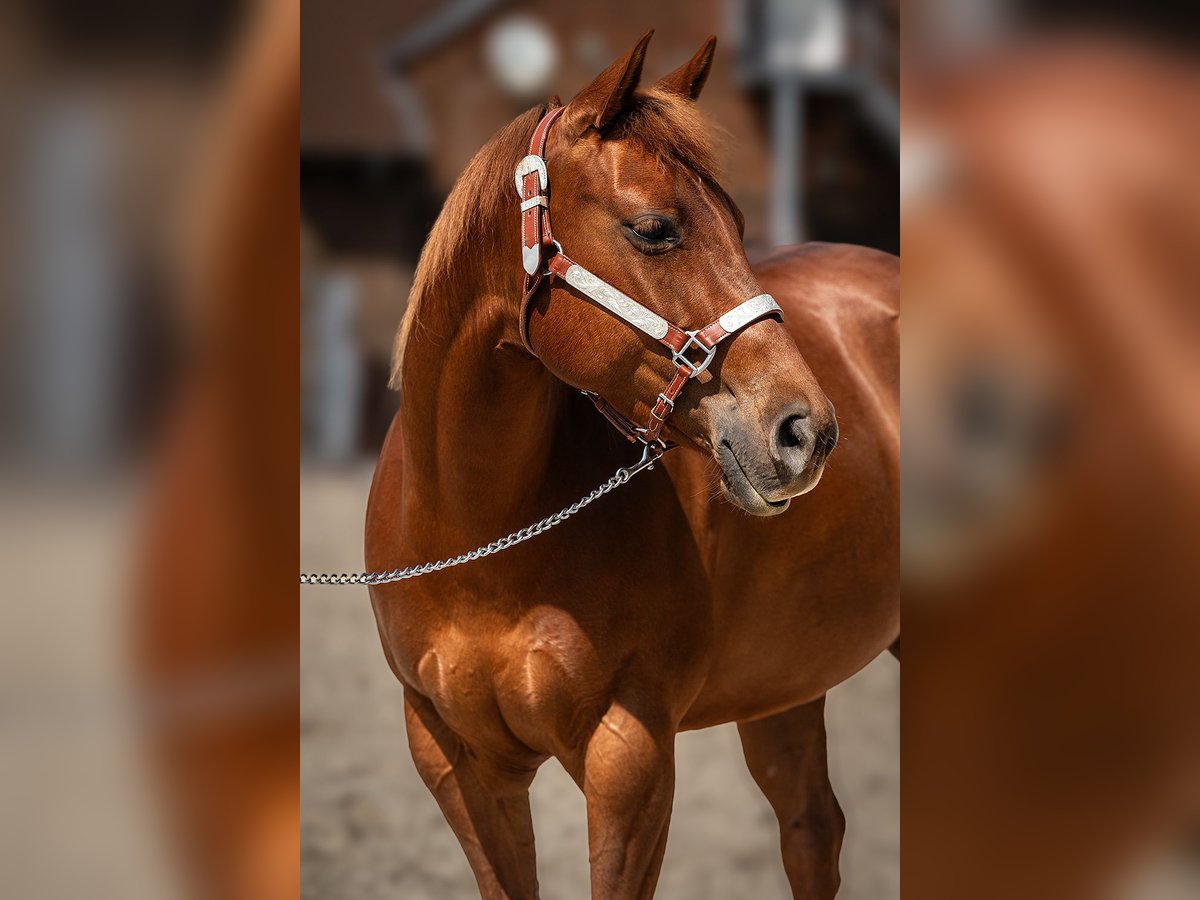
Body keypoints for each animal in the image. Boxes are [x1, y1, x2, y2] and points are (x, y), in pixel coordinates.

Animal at [367, 31, 902, 897]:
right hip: (785, 684)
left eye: (739, 220)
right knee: (812, 829)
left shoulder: (632, 755)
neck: (477, 538)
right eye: (654, 228)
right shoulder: (455, 760)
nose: (806, 431)